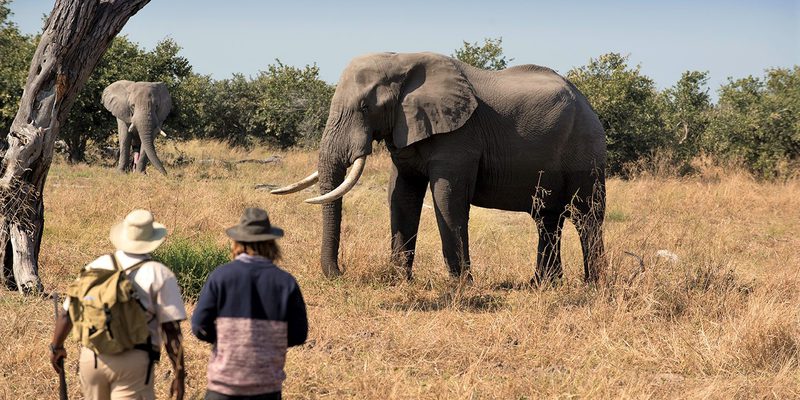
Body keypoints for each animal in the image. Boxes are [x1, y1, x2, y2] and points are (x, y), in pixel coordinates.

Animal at [273, 52, 607, 285]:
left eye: (366, 107)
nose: (339, 274)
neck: (402, 60)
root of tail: (589, 104)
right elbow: (401, 195)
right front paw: (399, 280)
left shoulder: (460, 135)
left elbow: (448, 198)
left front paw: (461, 285)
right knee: (546, 218)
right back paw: (543, 284)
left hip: (585, 147)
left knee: (586, 215)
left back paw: (592, 284)